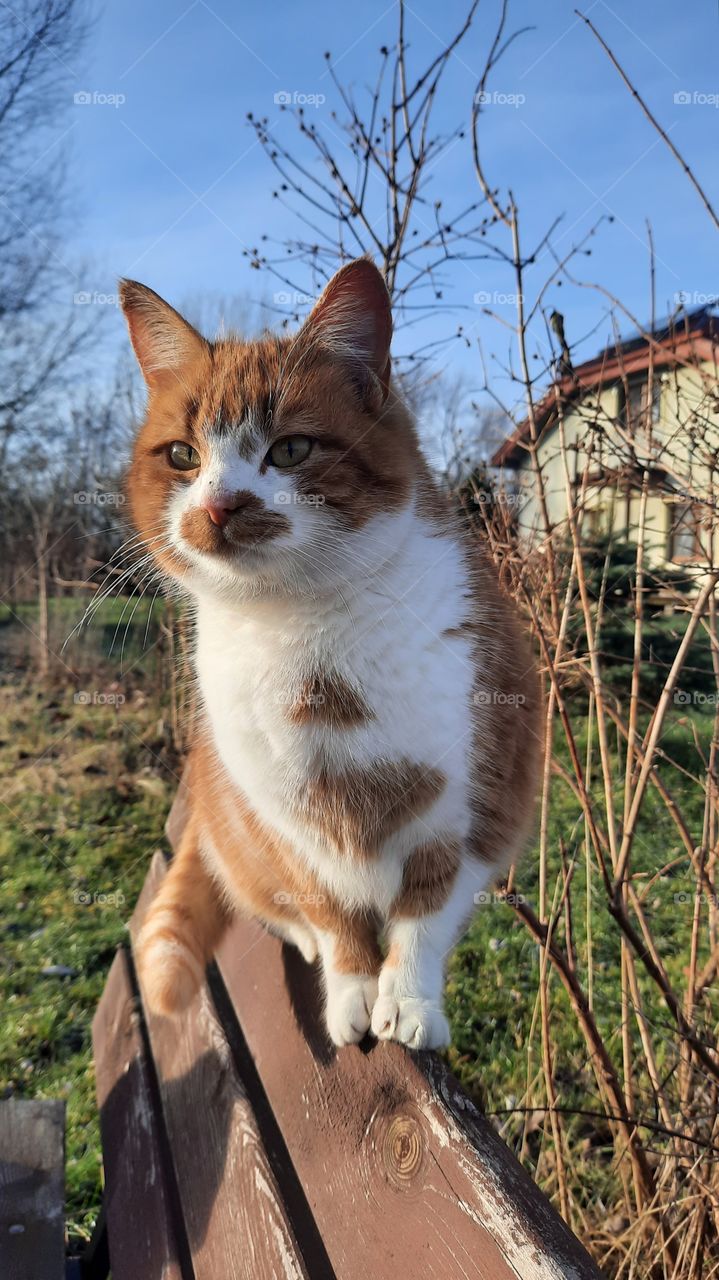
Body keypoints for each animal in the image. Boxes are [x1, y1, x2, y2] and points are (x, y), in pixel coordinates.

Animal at [121, 257, 537, 1049]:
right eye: (184, 456)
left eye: (289, 449)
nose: (218, 506)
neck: (304, 627)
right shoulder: (284, 824)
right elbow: (329, 911)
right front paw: (351, 990)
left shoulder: (465, 807)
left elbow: (423, 912)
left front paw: (406, 1001)